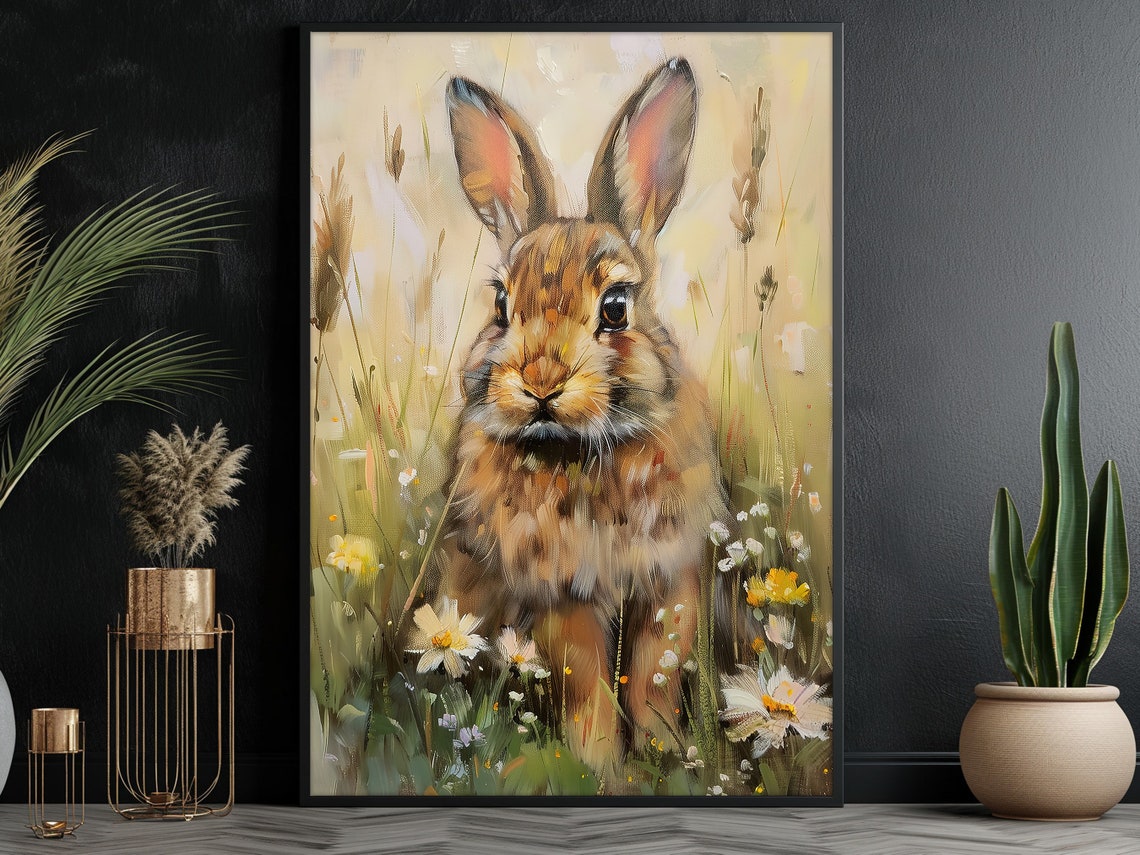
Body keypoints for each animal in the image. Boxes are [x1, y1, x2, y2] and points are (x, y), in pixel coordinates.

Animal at [435, 58, 729, 779]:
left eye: (617, 306)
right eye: (500, 304)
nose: (541, 382)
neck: (582, 448)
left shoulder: (668, 584)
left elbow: (654, 677)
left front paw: (665, 755)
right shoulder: (560, 597)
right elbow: (588, 689)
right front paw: (604, 772)